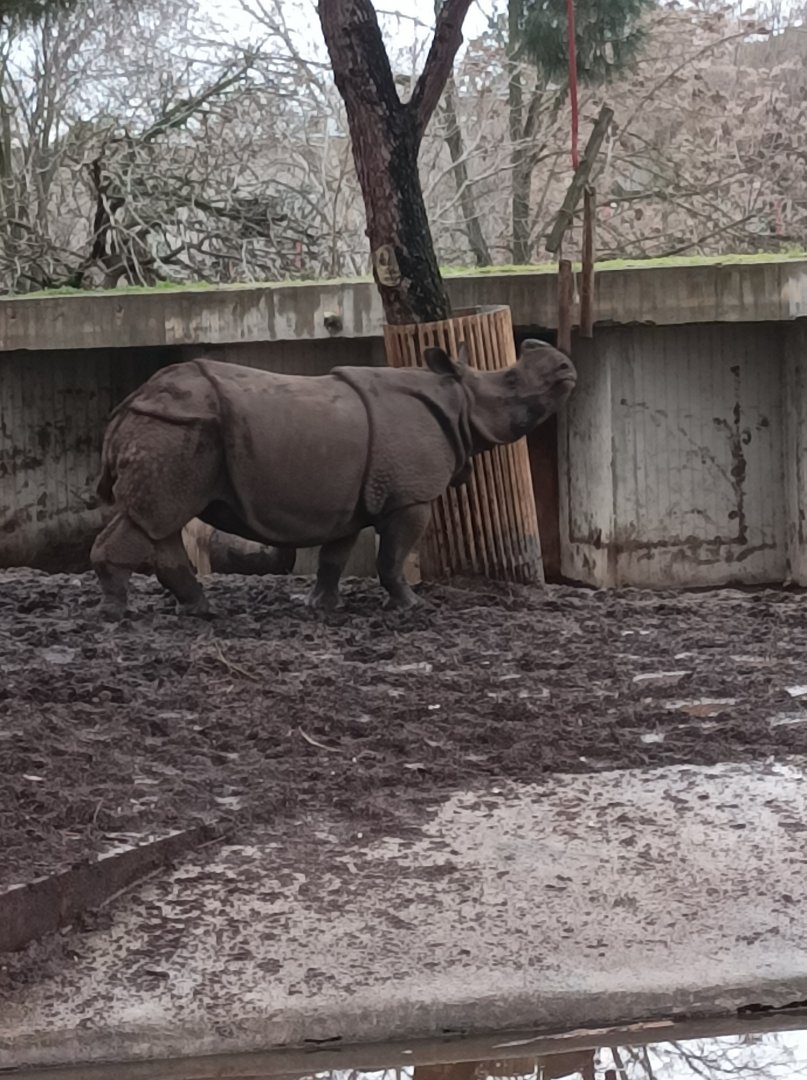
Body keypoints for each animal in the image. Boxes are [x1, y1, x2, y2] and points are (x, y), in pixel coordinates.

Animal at [91, 338, 576, 618]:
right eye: (511, 382)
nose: (565, 367)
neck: (458, 398)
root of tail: (129, 403)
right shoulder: (409, 497)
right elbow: (392, 556)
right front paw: (411, 608)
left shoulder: (349, 502)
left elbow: (334, 557)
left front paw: (322, 606)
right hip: (177, 428)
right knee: (154, 517)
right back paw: (117, 614)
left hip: (173, 430)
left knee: (161, 519)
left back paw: (199, 611)